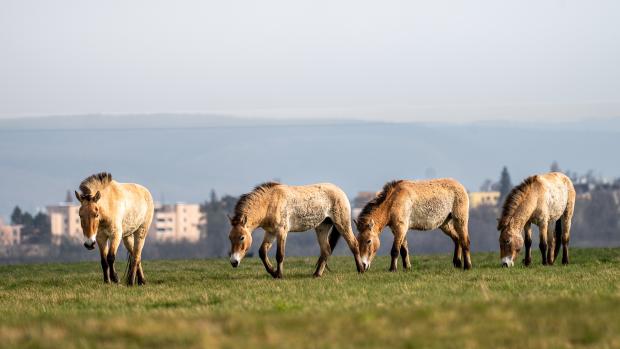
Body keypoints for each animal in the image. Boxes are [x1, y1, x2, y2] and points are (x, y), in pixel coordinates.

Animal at [228, 182, 364, 278]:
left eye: (242, 237)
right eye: (230, 238)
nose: (234, 262)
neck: (270, 203)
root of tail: (340, 191)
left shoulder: (281, 231)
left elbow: (280, 255)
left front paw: (279, 275)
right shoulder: (271, 232)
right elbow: (262, 252)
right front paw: (273, 272)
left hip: (342, 223)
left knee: (354, 244)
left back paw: (361, 270)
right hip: (322, 227)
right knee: (326, 250)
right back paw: (316, 274)